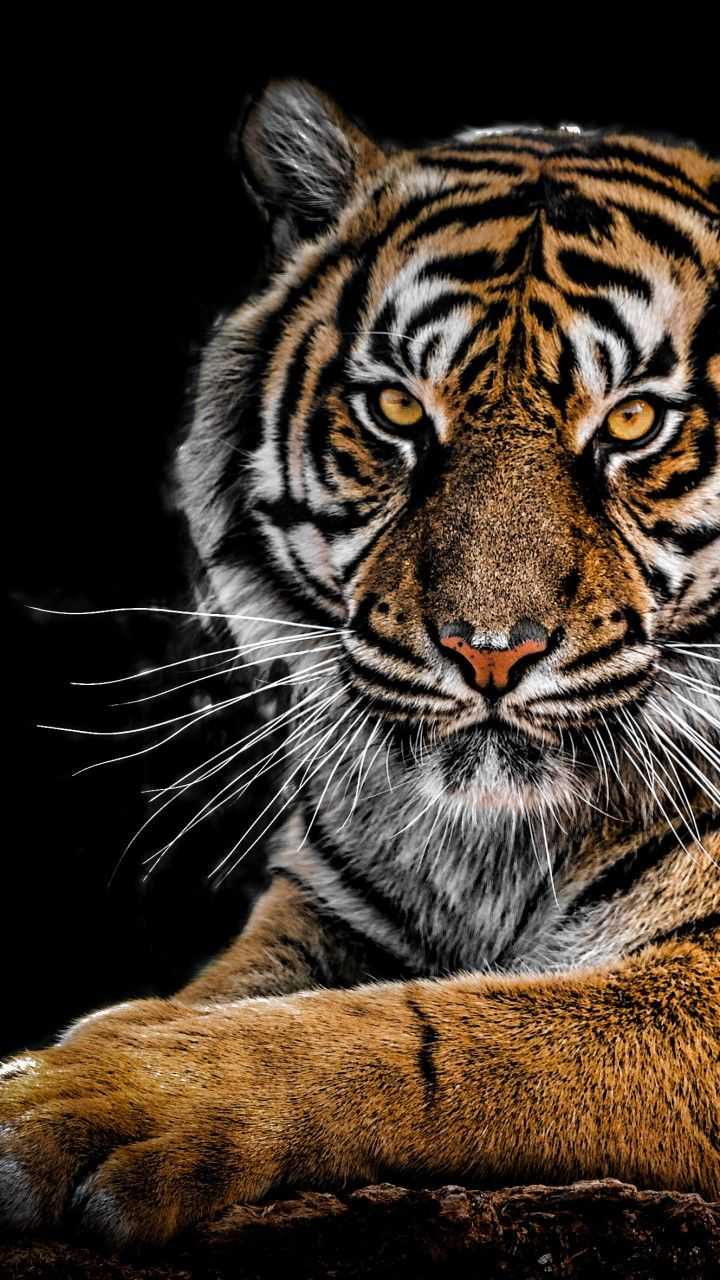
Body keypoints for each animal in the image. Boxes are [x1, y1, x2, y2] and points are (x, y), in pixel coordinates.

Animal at [1, 80, 719, 1248]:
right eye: (394, 411)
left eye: (635, 422)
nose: (489, 651)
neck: (490, 849)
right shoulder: (328, 905)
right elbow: (241, 988)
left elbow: (428, 1036)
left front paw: (98, 1093)